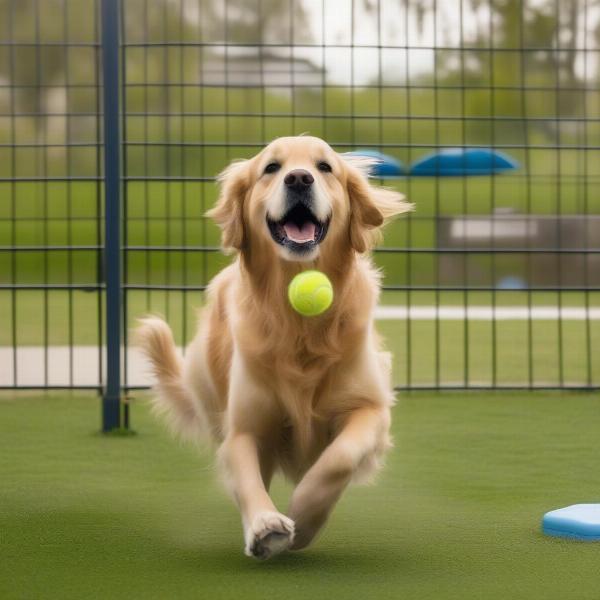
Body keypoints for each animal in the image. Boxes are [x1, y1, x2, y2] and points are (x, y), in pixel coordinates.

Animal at [135, 135, 410, 556]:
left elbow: (339, 459)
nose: (298, 178)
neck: (298, 326)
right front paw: (265, 524)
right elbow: (246, 476)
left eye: (325, 167)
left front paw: (306, 514)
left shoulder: (371, 408)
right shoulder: (243, 428)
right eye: (271, 168)